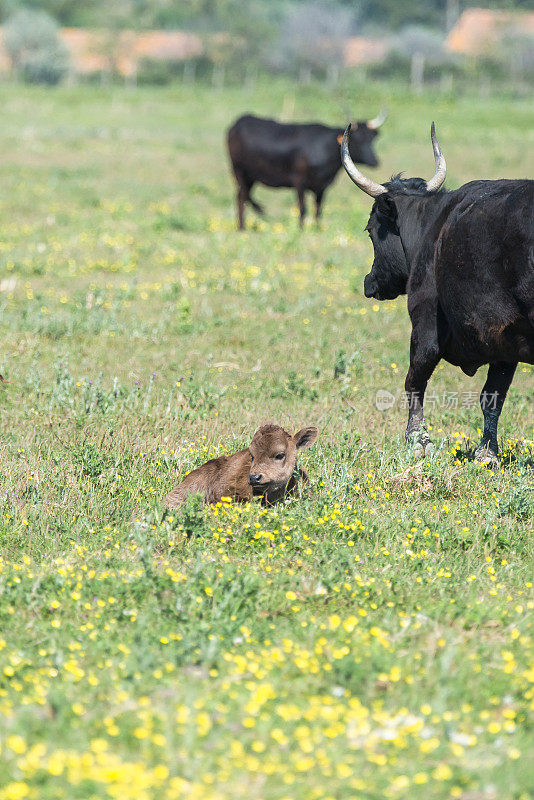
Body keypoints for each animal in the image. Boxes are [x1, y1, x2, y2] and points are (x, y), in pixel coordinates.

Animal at [228, 110, 388, 228]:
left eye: (371, 140)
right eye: (357, 140)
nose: (375, 161)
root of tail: (241, 120)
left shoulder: (322, 187)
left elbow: (318, 209)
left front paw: (317, 228)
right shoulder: (299, 181)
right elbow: (303, 208)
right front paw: (301, 229)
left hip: (251, 177)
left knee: (243, 196)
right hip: (239, 171)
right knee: (241, 197)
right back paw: (242, 227)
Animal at [342, 124, 532, 462]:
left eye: (369, 229)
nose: (368, 282)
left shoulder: (425, 322)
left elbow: (415, 380)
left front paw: (418, 442)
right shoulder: (505, 339)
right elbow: (493, 395)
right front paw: (487, 453)